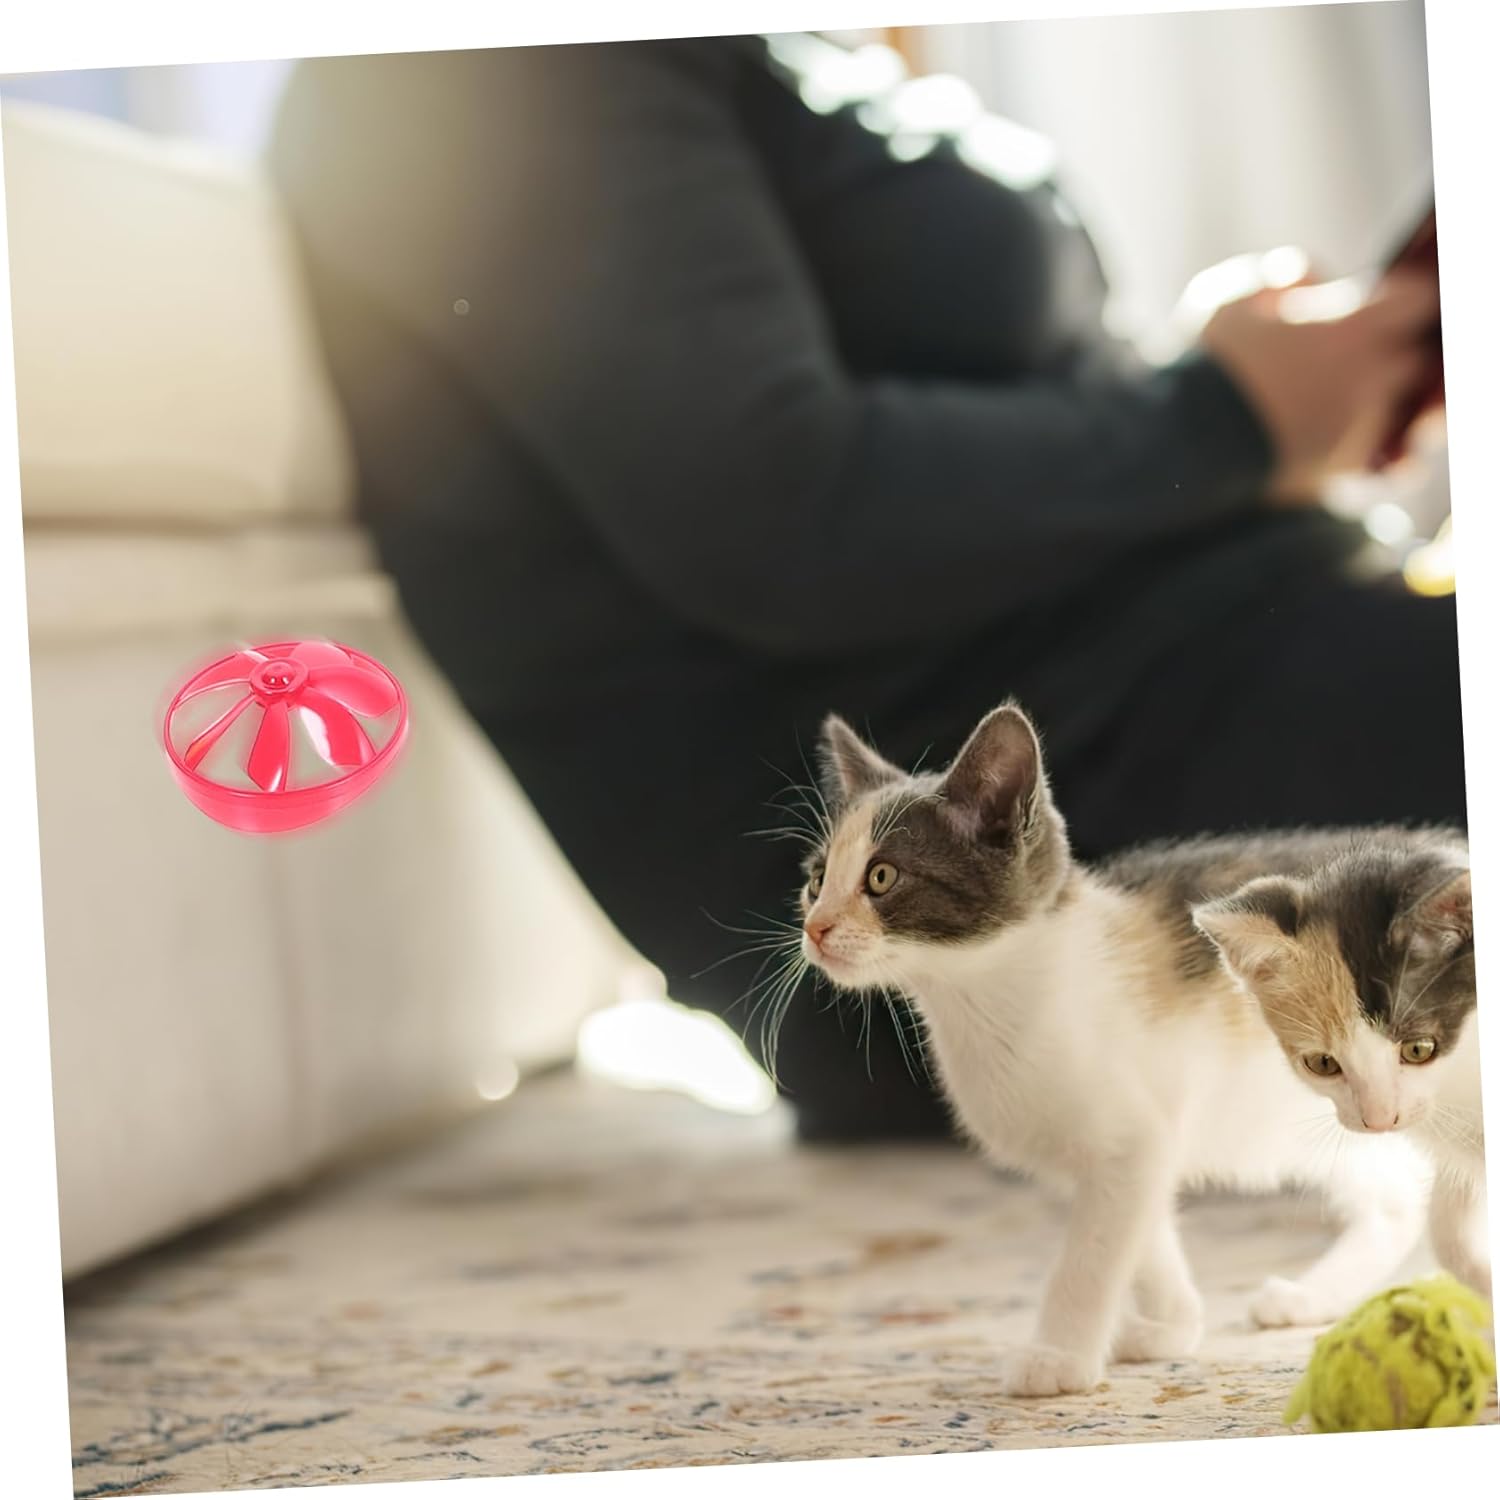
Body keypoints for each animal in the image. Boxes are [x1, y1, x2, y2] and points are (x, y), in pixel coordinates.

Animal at [793, 699, 1431, 1397]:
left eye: (882, 877)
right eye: (817, 880)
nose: (815, 927)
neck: (989, 1000)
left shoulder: (1132, 1139)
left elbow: (1091, 1257)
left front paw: (1058, 1359)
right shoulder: (1128, 1149)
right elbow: (1141, 1237)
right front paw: (1171, 1326)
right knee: (1400, 1202)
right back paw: (1312, 1297)